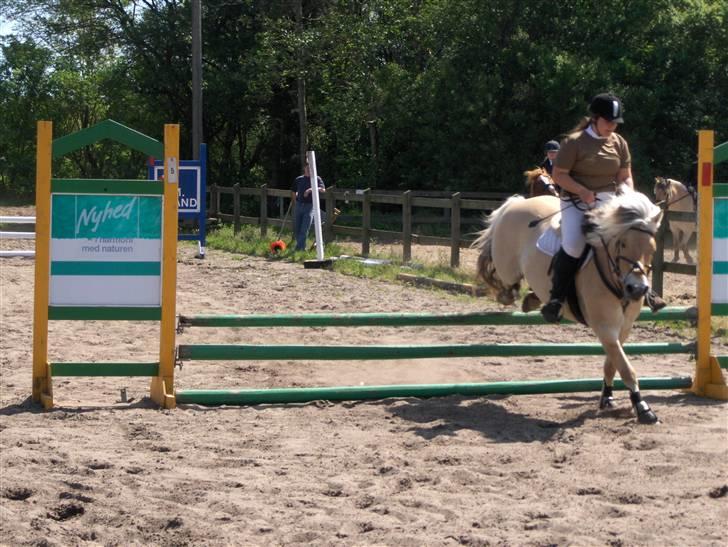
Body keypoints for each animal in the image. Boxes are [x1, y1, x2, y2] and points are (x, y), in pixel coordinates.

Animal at [472, 191, 664, 426]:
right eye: (623, 244)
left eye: (652, 249)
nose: (637, 289)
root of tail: (517, 203)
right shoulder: (605, 328)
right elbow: (627, 369)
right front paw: (643, 408)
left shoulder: (623, 328)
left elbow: (613, 364)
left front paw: (607, 398)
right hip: (507, 267)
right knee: (506, 282)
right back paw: (514, 295)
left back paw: (535, 299)